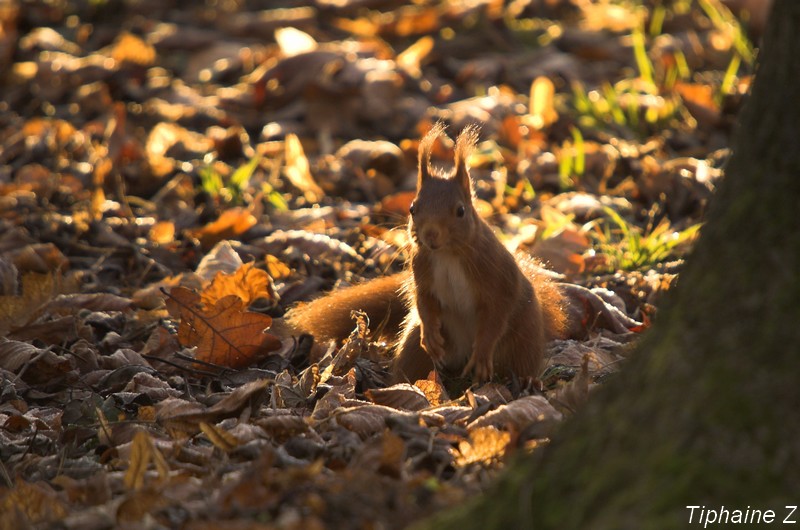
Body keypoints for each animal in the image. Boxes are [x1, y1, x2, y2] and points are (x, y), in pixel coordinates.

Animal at [284, 122, 564, 380]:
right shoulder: (422, 268)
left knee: (522, 362)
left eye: (460, 211)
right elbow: (424, 301)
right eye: (412, 208)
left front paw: (482, 354)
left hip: (522, 340)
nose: (430, 235)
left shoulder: (496, 275)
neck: (447, 255)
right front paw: (429, 333)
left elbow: (496, 314)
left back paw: (524, 381)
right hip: (415, 349)